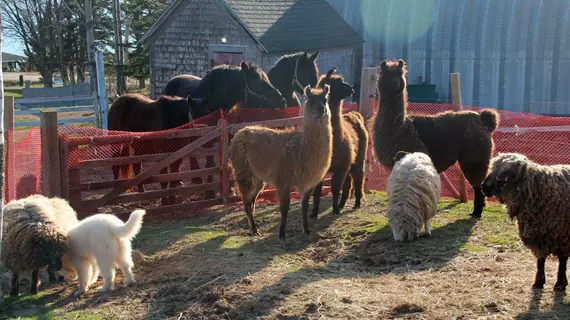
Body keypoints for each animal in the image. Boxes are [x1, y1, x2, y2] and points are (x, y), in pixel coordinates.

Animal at [368, 59, 496, 218]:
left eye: (400, 75)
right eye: (387, 74)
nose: (396, 85)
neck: (400, 128)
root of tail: (482, 119)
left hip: (475, 156)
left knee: (478, 184)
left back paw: (476, 213)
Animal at [482, 154, 568, 292]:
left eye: (504, 174)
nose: (483, 187)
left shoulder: (564, 236)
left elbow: (563, 260)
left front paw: (560, 283)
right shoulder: (538, 234)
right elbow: (540, 259)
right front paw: (539, 282)